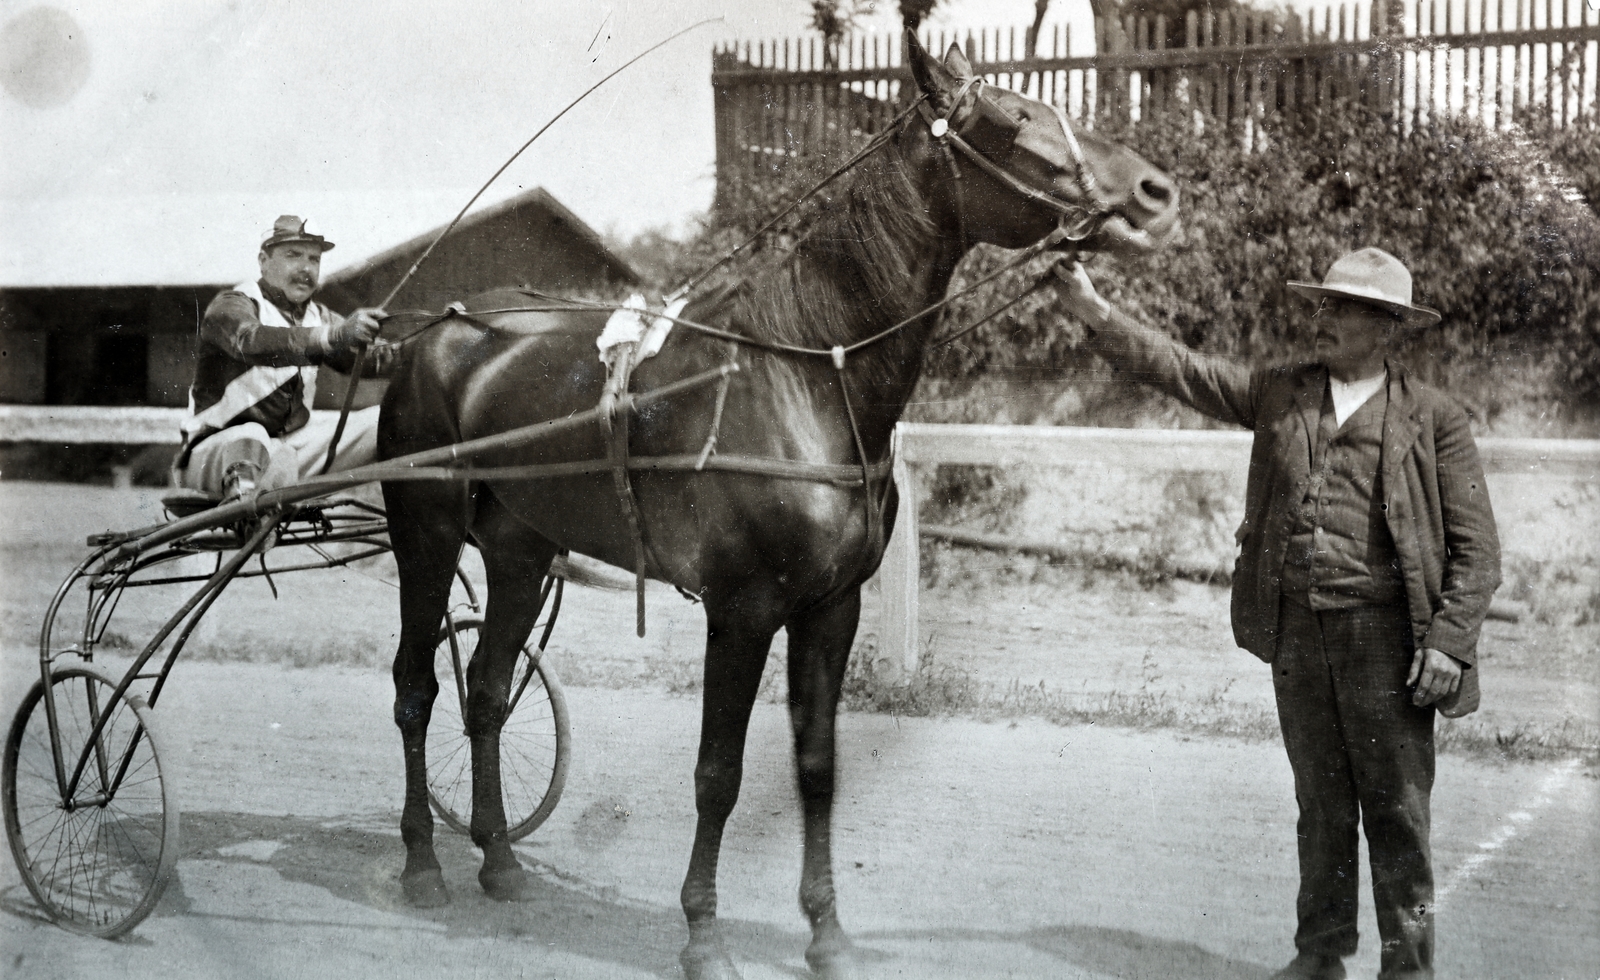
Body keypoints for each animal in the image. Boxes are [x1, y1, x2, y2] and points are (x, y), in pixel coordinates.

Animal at [377, 32, 1179, 980]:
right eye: (1012, 118)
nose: (1155, 191)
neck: (805, 378)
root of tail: (436, 332)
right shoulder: (743, 610)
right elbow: (718, 774)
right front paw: (702, 935)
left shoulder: (831, 608)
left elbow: (817, 766)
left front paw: (827, 934)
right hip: (425, 536)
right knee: (418, 687)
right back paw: (422, 862)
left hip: (520, 550)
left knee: (488, 690)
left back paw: (500, 858)